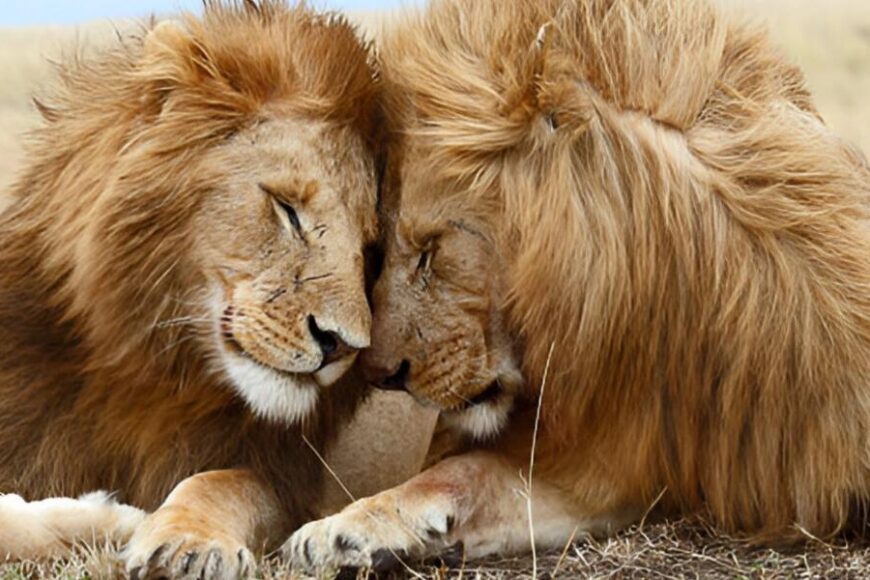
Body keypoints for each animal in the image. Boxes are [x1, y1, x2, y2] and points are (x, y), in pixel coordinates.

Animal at [0, 1, 381, 576]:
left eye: (370, 250)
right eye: (287, 208)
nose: (341, 346)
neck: (151, 366)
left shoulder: (280, 474)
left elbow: (224, 483)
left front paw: (186, 542)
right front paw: (110, 518)